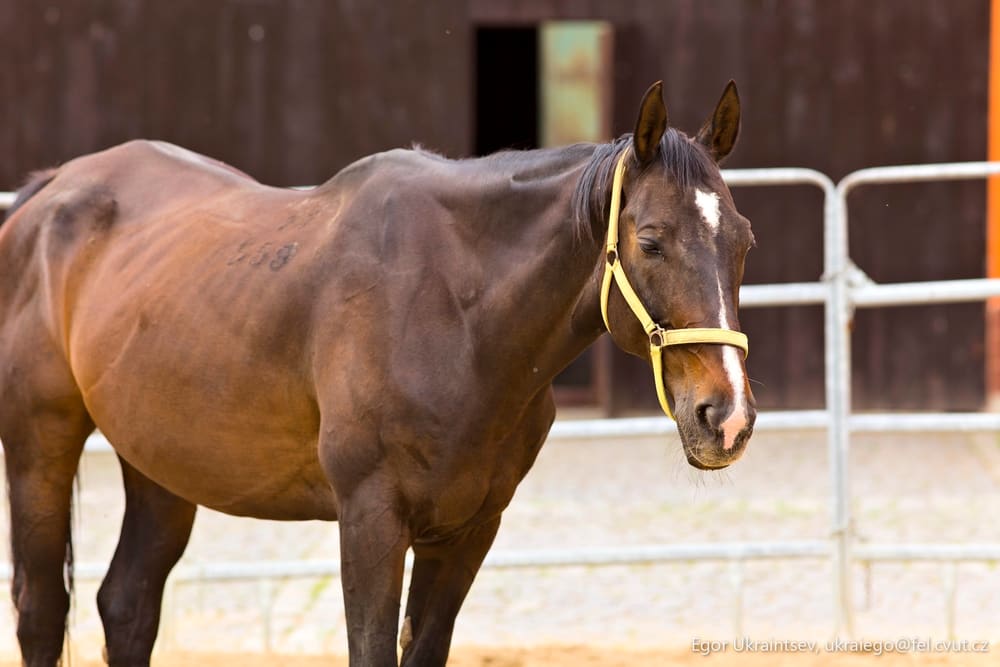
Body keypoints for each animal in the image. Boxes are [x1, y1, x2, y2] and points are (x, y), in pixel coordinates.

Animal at [0, 81, 756, 666]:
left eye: (743, 241)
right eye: (651, 242)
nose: (727, 417)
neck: (455, 313)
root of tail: (45, 195)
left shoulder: (468, 531)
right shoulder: (369, 519)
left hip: (161, 463)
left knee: (126, 604)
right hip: (41, 447)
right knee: (42, 610)